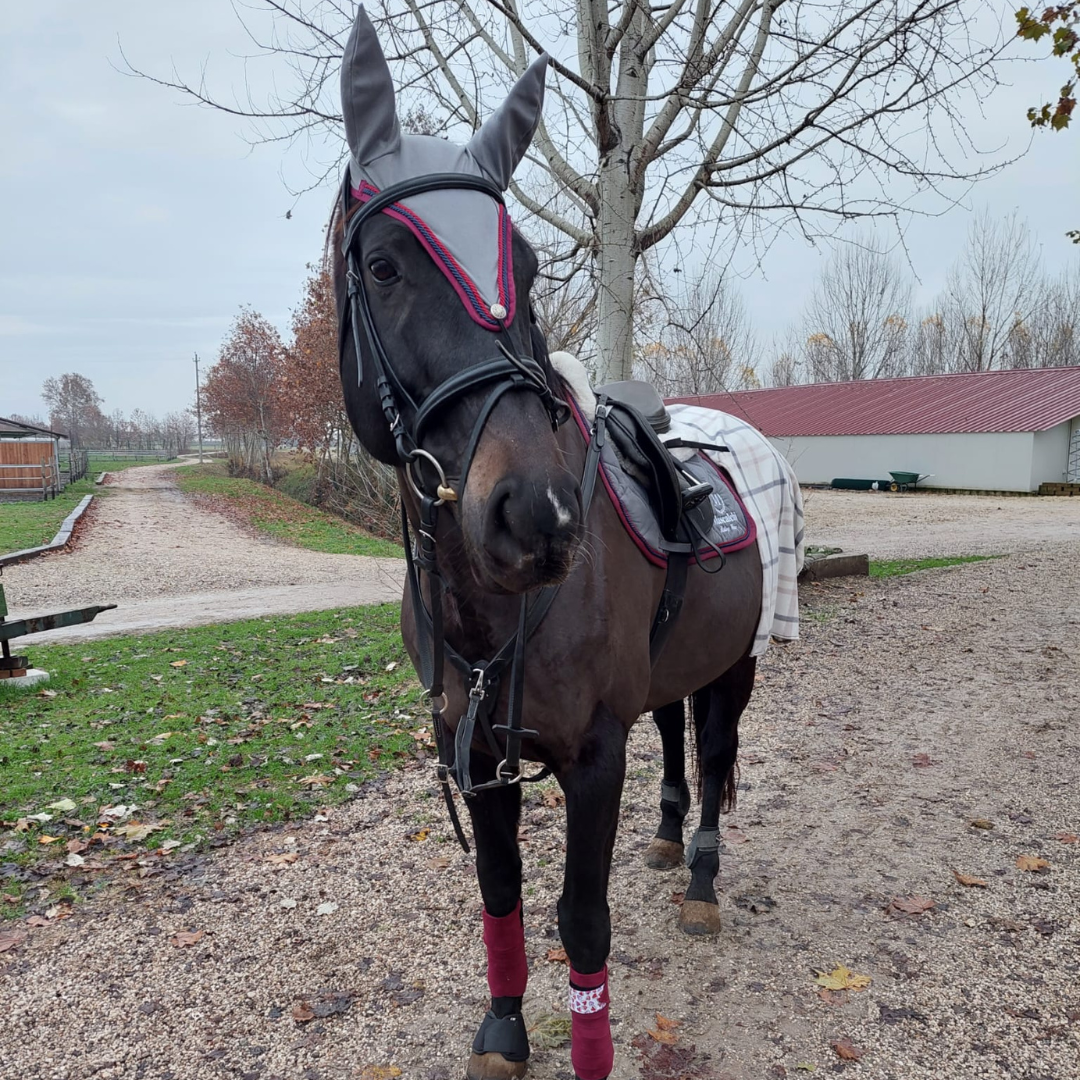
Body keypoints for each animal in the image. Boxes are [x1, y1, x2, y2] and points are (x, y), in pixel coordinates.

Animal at [328, 10, 803, 1080]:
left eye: (532, 267)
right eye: (383, 267)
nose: (536, 514)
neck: (490, 609)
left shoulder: (591, 754)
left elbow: (584, 921)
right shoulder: (472, 749)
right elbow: (502, 899)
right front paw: (505, 1029)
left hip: (738, 666)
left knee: (715, 752)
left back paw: (700, 876)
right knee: (674, 733)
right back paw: (666, 839)